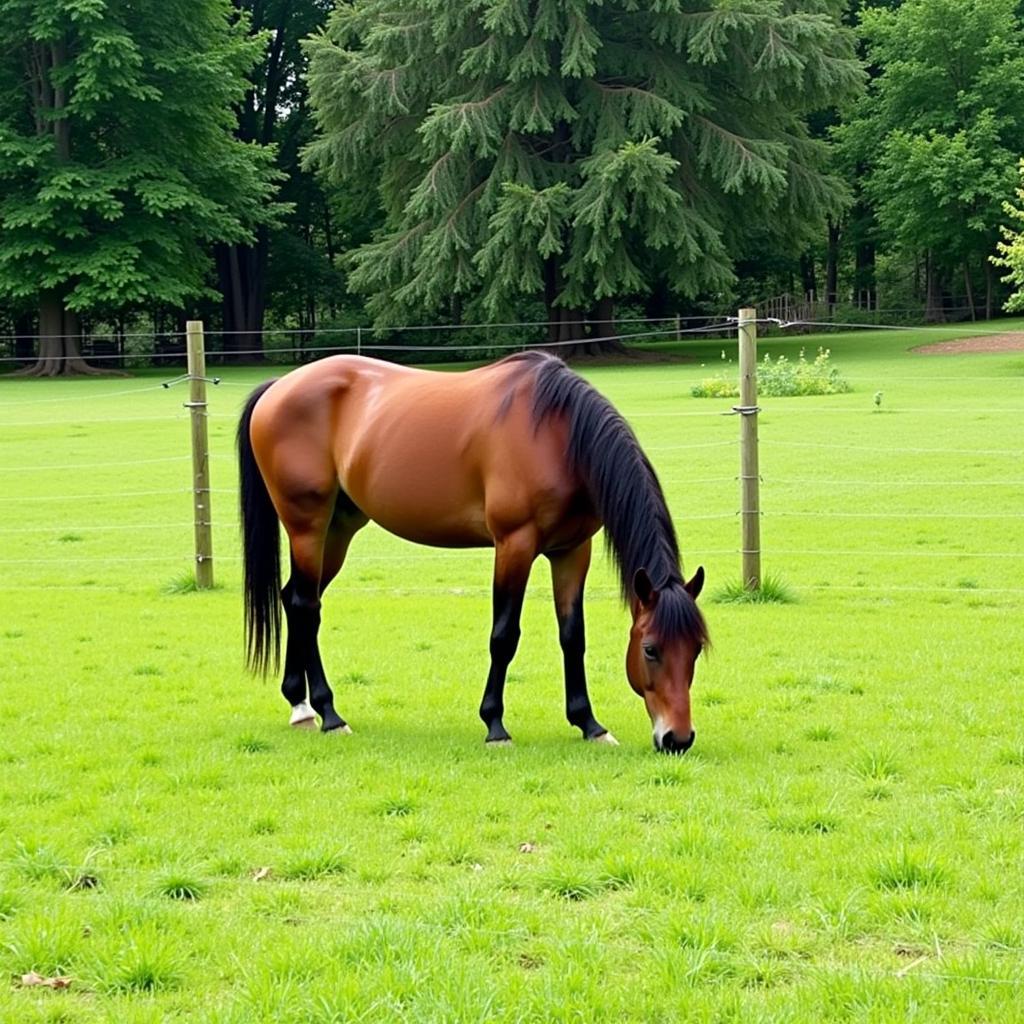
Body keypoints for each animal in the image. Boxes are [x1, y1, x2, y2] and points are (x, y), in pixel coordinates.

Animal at [235, 350, 708, 753]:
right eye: (650, 649)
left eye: (696, 649)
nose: (677, 738)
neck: (557, 435)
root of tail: (280, 386)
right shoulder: (514, 545)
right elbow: (504, 636)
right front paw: (495, 725)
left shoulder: (573, 551)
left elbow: (573, 636)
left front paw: (589, 724)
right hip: (307, 527)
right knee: (305, 606)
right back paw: (329, 713)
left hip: (339, 529)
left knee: (296, 599)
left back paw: (300, 706)